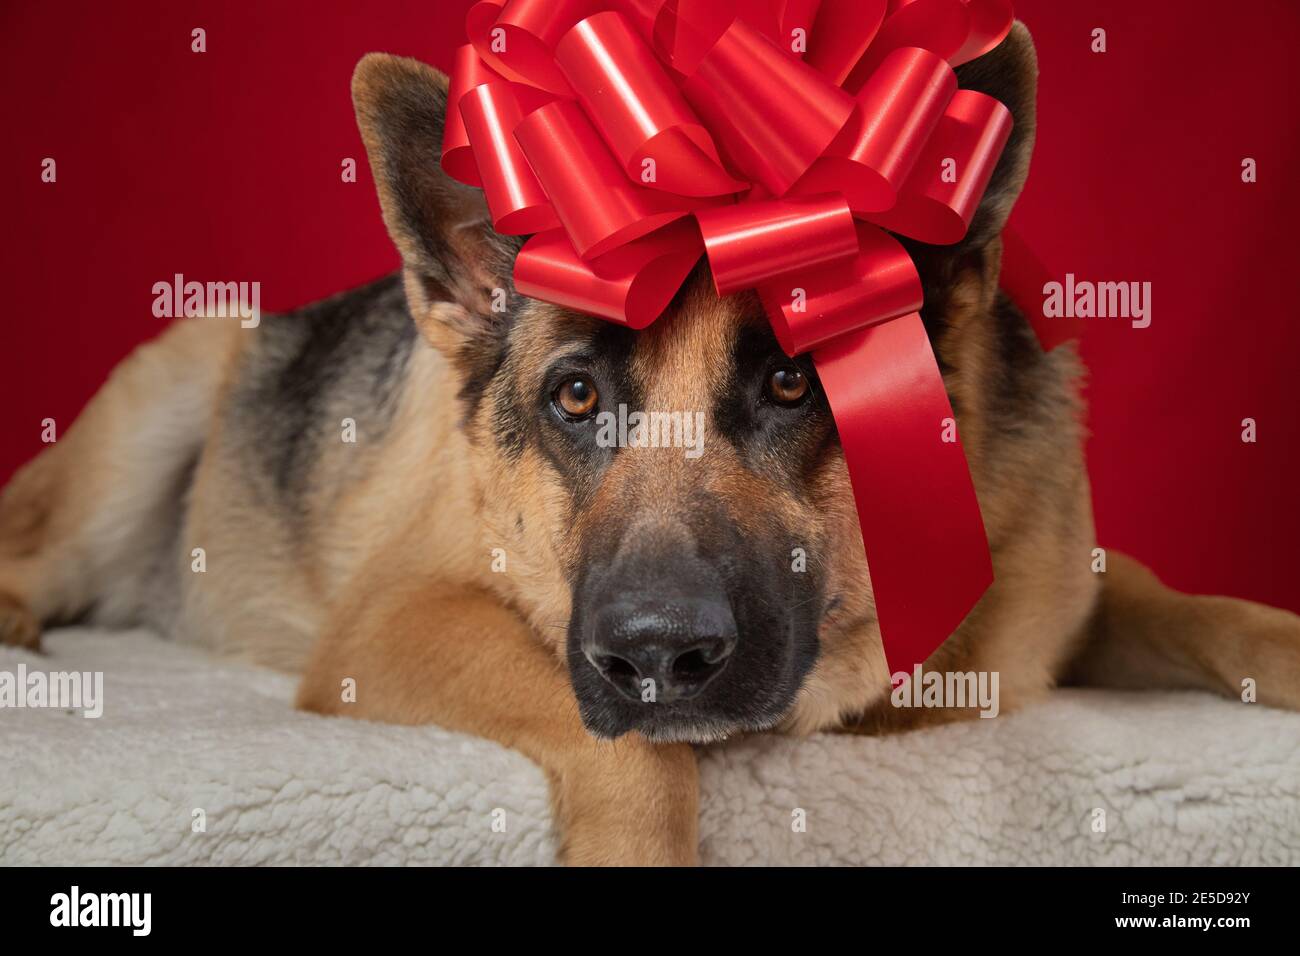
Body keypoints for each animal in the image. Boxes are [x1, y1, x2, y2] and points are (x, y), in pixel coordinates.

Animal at [7, 26, 1300, 868]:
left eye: (792, 379)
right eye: (576, 396)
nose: (658, 657)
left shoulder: (1069, 590)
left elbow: (1198, 605)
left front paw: (1278, 648)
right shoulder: (397, 622)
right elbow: (629, 751)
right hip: (180, 372)